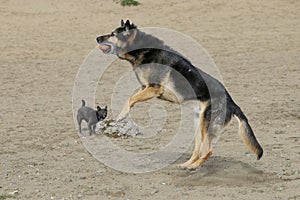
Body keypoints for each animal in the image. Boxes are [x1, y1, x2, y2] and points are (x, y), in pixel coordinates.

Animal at [96, 20, 262, 170]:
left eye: (113, 34)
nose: (97, 38)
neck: (141, 48)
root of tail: (232, 103)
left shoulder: (154, 89)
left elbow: (130, 99)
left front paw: (121, 116)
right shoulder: (145, 88)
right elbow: (130, 98)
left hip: (206, 126)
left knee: (208, 151)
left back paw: (192, 167)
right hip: (198, 124)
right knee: (198, 150)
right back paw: (186, 164)